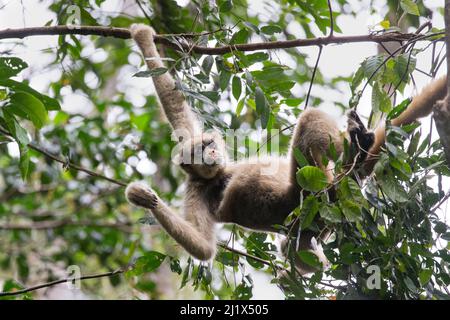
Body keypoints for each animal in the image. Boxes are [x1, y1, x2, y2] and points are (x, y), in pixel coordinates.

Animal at [125, 24, 448, 276]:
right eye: (201, 156)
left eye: (208, 146)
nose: (212, 154)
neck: (213, 177)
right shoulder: (198, 190)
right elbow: (203, 248)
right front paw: (145, 199)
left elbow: (178, 112)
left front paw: (143, 37)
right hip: (309, 187)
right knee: (310, 123)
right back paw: (358, 150)